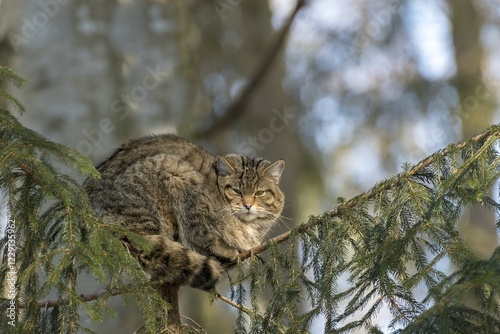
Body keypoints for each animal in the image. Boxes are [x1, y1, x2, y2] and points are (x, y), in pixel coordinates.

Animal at [84, 134, 284, 290]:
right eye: (236, 191)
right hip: (168, 171)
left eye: (259, 192)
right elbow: (202, 233)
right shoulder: (191, 197)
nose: (248, 204)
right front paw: (223, 249)